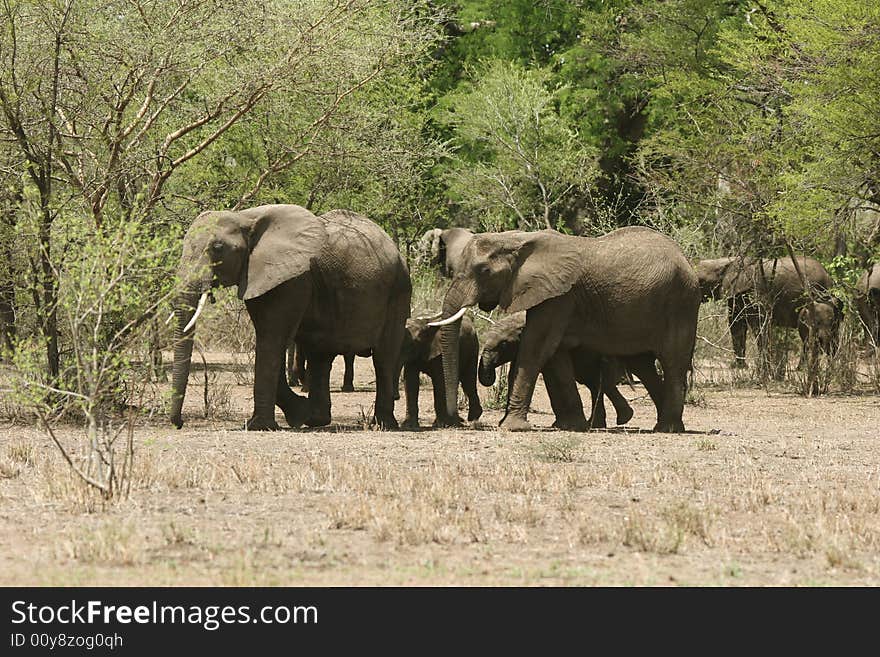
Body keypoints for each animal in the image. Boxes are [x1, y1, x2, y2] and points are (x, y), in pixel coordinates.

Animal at [172, 205, 412, 430]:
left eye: (217, 248)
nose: (180, 423)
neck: (246, 217)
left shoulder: (293, 280)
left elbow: (273, 339)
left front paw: (261, 426)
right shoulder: (261, 276)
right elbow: (270, 337)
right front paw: (299, 414)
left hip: (398, 290)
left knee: (384, 357)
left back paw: (383, 424)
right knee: (320, 355)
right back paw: (317, 420)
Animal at [696, 256, 836, 368]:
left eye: (701, 281)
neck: (725, 262)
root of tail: (828, 275)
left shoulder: (754, 290)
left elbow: (758, 324)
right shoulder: (737, 293)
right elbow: (737, 325)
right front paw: (739, 366)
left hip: (820, 293)